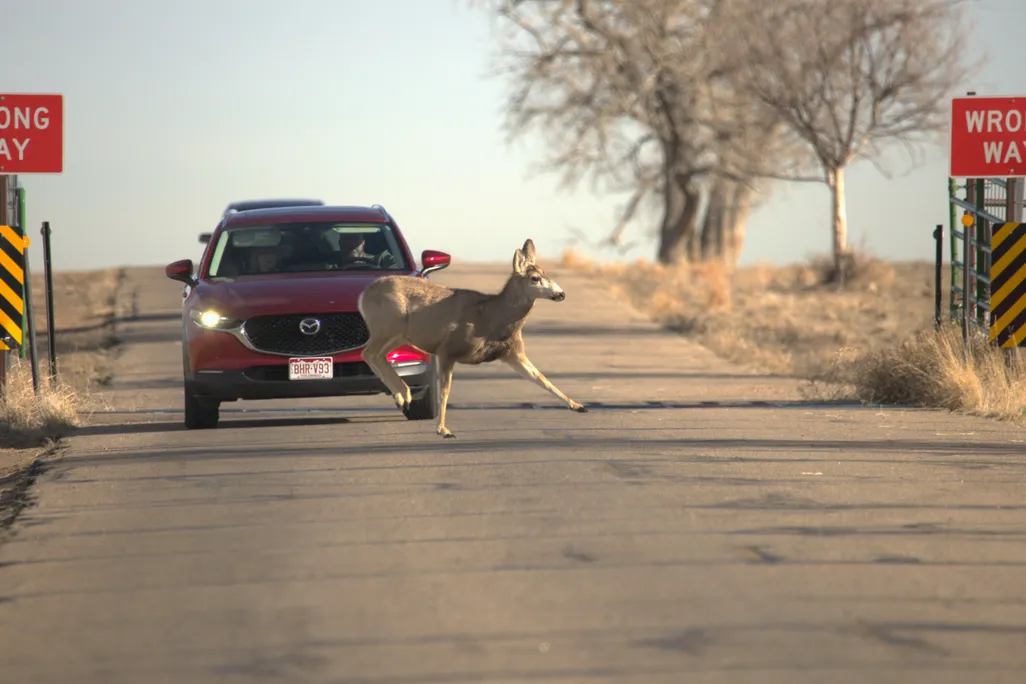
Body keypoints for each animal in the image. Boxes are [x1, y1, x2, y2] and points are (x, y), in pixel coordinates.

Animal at [357, 238, 588, 439]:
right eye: (535, 278)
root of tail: (363, 295)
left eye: (548, 273)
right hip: (387, 326)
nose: (561, 294)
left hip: (399, 334)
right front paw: (443, 430)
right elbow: (445, 390)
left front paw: (577, 405)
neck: (491, 316)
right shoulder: (447, 349)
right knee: (368, 352)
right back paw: (403, 395)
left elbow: (541, 378)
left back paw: (403, 396)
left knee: (376, 355)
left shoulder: (512, 352)